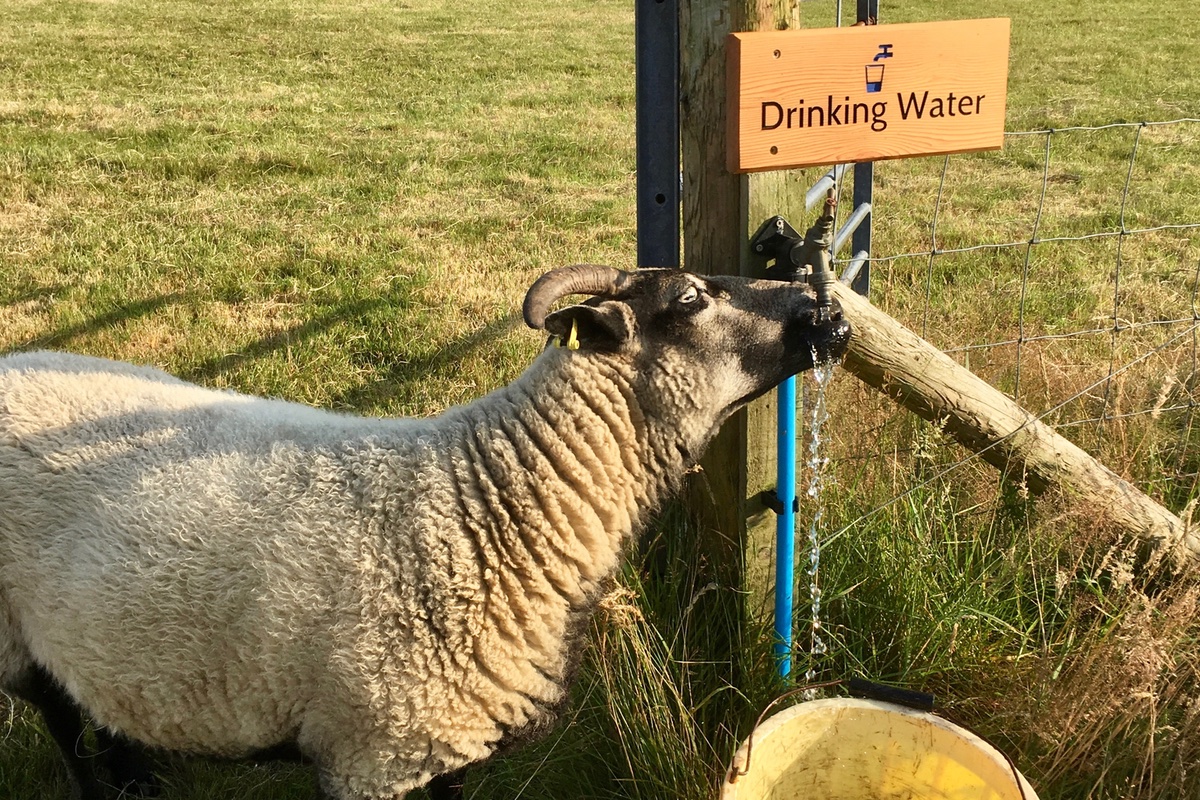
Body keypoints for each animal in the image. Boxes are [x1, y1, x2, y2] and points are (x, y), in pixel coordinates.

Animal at [4, 266, 854, 796]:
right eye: (689, 298)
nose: (833, 315)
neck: (492, 505)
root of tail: (17, 361)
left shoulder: (444, 748)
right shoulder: (373, 756)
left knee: (101, 711)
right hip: (13, 636)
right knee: (62, 724)